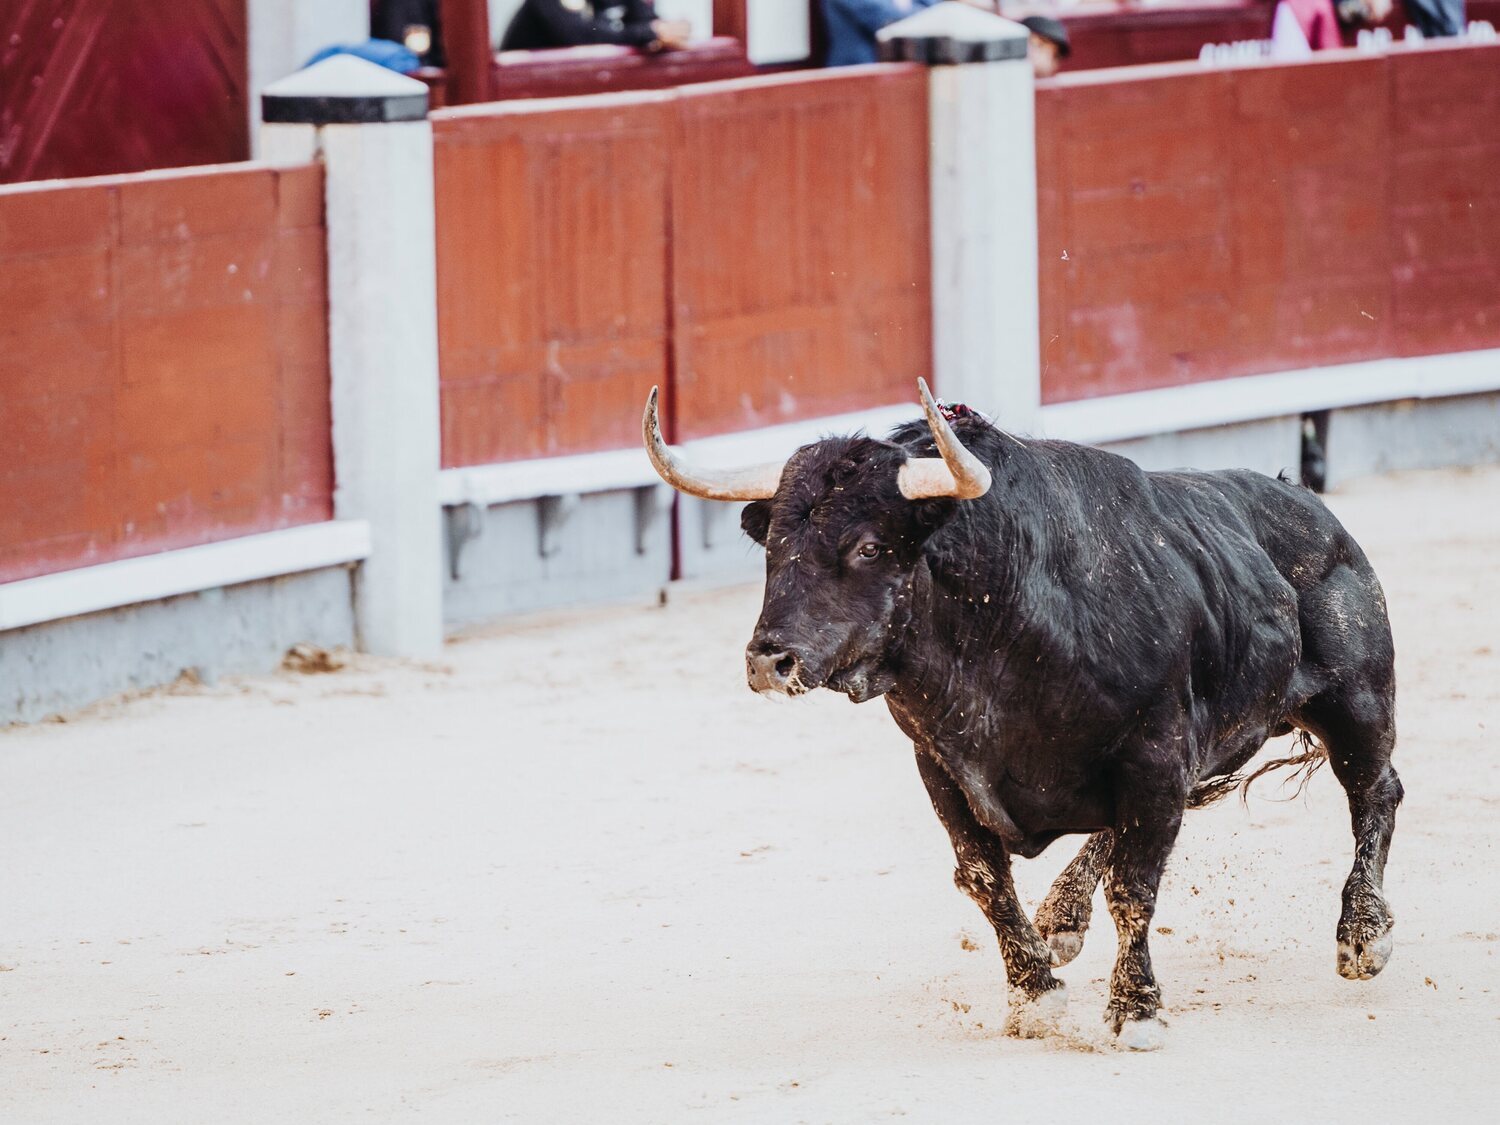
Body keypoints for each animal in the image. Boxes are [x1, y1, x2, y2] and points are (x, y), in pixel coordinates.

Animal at [645, 384, 1404, 1056]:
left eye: (867, 545)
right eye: (774, 544)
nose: (769, 661)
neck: (1005, 627)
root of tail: (1309, 506)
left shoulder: (1156, 752)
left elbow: (1135, 888)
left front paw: (1136, 1013)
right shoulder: (942, 765)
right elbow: (984, 876)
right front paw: (1034, 994)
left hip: (1357, 702)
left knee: (1377, 789)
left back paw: (1363, 935)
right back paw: (1061, 915)